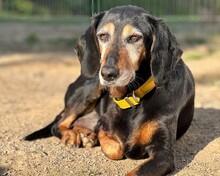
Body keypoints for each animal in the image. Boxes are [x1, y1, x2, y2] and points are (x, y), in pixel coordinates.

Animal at [24, 5, 195, 176]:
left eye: (135, 37)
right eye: (103, 36)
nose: (107, 74)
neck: (132, 97)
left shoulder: (163, 155)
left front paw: (93, 136)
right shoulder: (104, 122)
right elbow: (116, 148)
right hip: (91, 87)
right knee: (59, 123)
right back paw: (71, 135)